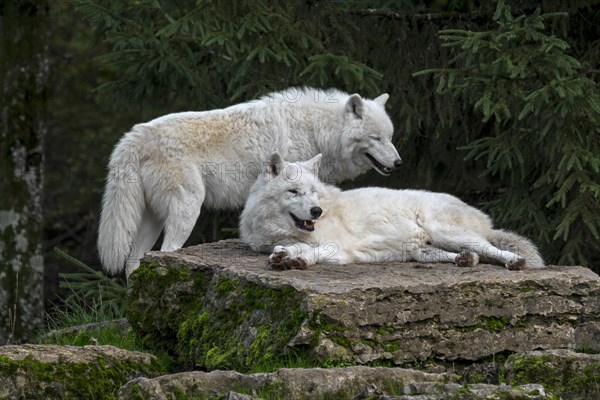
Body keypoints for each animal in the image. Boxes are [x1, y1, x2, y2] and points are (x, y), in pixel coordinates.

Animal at [98, 86, 400, 278]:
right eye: (376, 138)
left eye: (390, 137)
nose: (398, 163)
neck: (317, 129)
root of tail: (134, 136)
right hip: (187, 210)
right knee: (168, 251)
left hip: (153, 219)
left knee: (133, 264)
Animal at [239, 152, 544, 270]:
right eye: (294, 192)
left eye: (313, 191)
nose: (316, 211)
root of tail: (482, 217)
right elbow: (288, 249)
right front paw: (284, 255)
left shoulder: (340, 249)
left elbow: (313, 252)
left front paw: (298, 260)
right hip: (422, 250)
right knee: (475, 256)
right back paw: (465, 260)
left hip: (445, 232)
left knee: (493, 249)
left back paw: (514, 262)